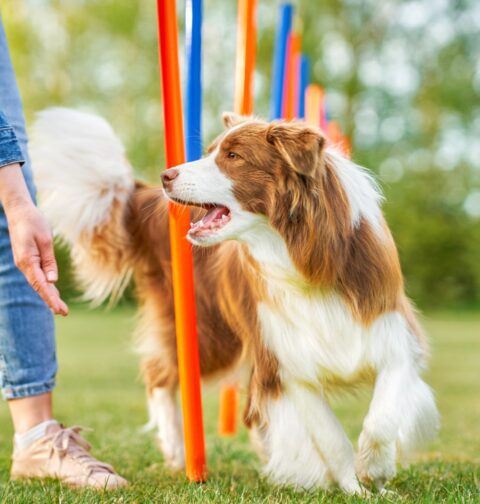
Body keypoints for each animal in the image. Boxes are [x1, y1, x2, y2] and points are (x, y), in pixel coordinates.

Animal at [30, 108, 438, 494]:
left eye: (233, 155)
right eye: (211, 151)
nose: (166, 175)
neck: (303, 257)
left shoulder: (390, 332)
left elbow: (382, 416)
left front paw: (374, 470)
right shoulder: (286, 361)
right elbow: (331, 438)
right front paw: (354, 486)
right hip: (210, 334)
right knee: (159, 373)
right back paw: (177, 449)